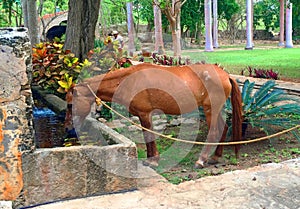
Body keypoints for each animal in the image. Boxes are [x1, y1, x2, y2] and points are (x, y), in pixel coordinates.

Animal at [65, 62, 241, 168]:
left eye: (70, 104)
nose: (68, 128)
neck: (130, 80)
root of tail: (225, 75)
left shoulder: (145, 114)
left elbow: (149, 135)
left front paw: (153, 160)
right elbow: (146, 135)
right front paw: (150, 159)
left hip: (211, 108)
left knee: (214, 132)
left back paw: (201, 160)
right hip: (215, 109)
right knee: (224, 128)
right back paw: (216, 157)